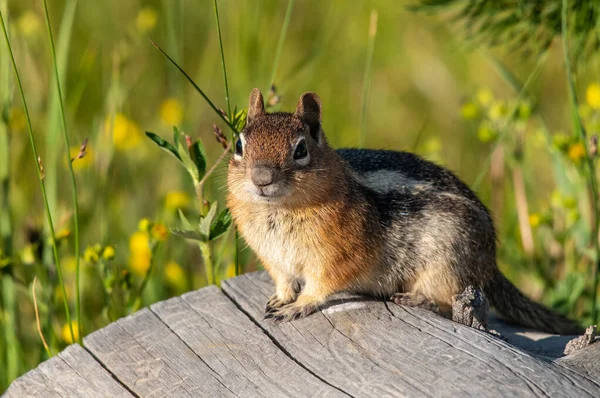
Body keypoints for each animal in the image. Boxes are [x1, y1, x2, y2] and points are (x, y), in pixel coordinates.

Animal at [227, 88, 584, 334]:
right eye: (239, 145)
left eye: (300, 150)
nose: (261, 178)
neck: (278, 211)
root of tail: (490, 263)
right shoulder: (275, 260)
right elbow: (285, 282)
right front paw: (281, 299)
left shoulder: (337, 258)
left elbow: (320, 288)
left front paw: (297, 307)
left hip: (446, 267)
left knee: (447, 302)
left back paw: (417, 299)